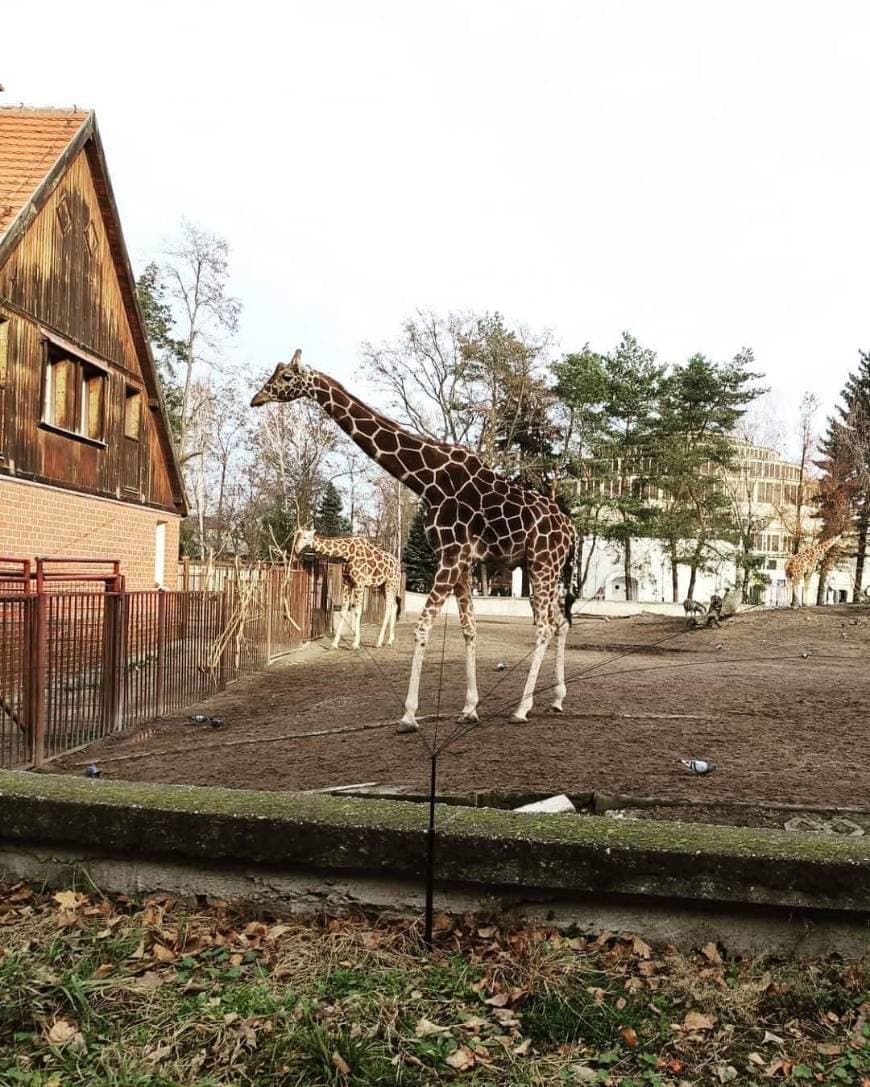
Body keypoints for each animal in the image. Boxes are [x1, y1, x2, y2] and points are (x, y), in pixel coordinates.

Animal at [251, 352, 578, 734]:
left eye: (287, 377)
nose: (257, 398)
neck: (428, 480)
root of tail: (571, 529)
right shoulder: (461, 562)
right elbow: (469, 629)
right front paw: (469, 708)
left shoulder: (451, 557)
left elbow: (422, 628)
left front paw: (408, 715)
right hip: (544, 567)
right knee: (561, 622)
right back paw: (556, 699)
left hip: (542, 564)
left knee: (545, 626)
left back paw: (523, 708)